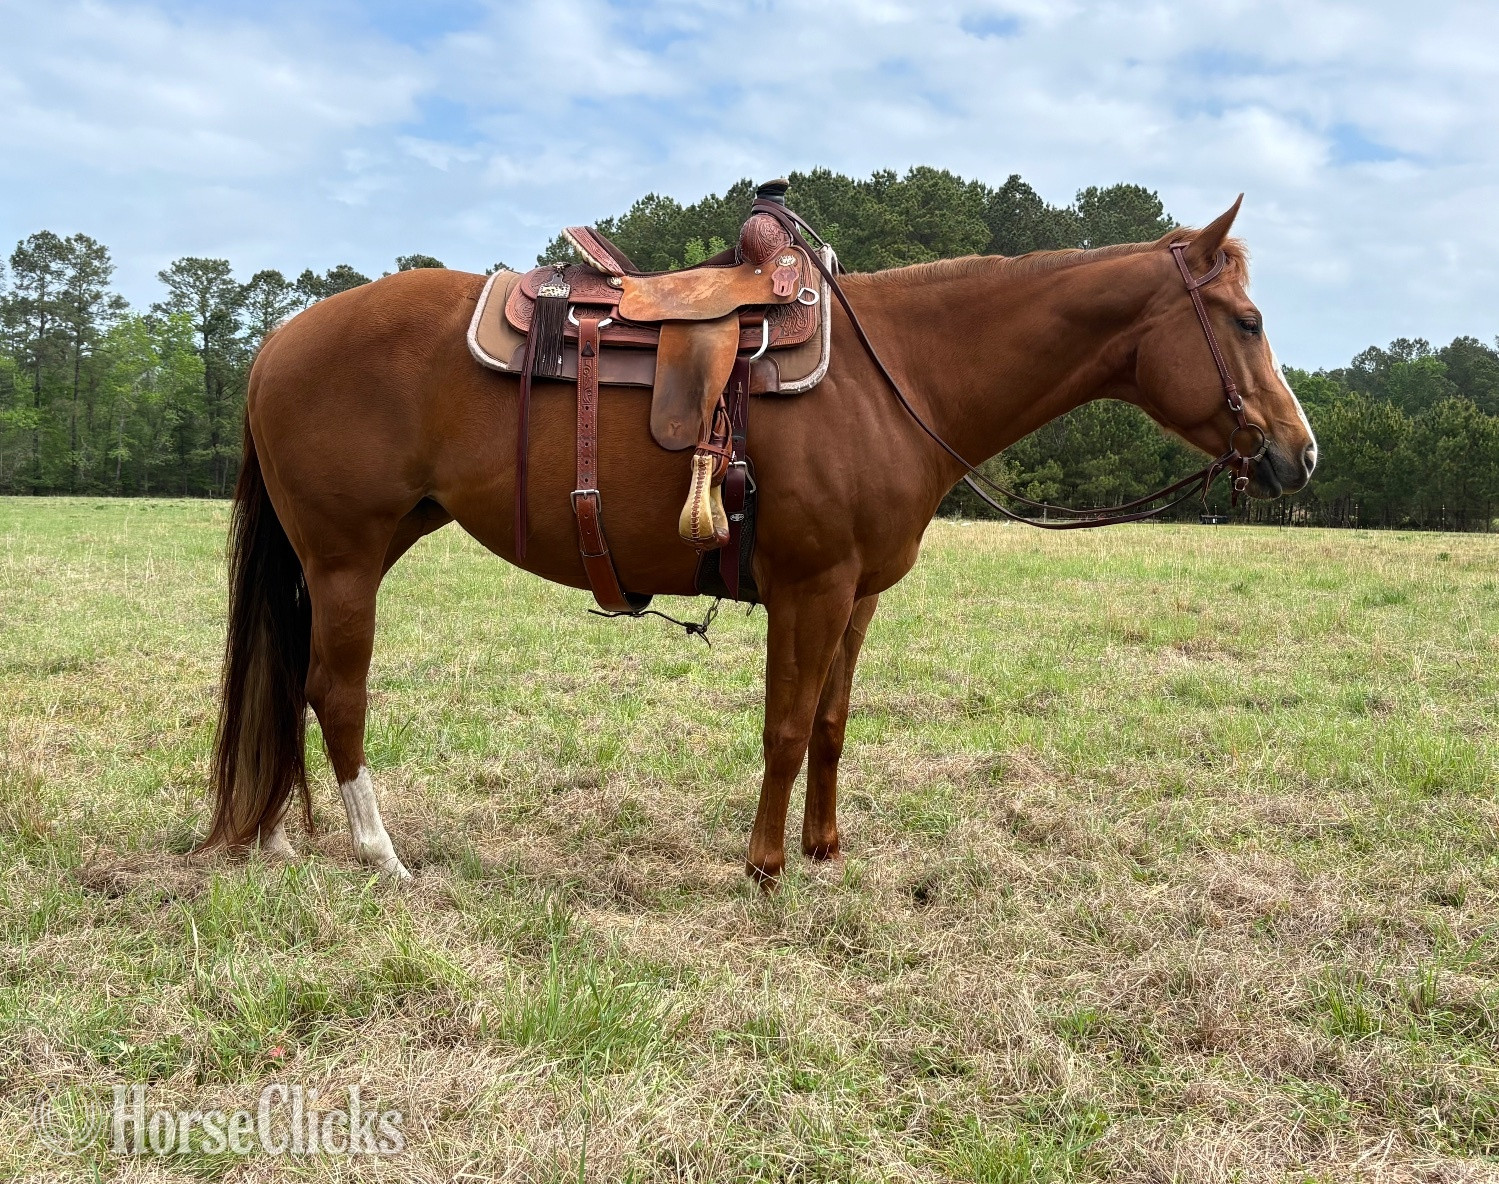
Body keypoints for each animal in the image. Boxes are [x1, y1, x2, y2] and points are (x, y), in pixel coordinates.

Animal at [197, 197, 1316, 885]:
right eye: (1246, 320)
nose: (1298, 455)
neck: (895, 374)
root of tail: (280, 339)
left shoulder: (857, 597)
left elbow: (828, 725)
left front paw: (823, 846)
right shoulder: (809, 588)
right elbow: (782, 726)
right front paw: (765, 863)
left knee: (292, 684)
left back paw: (282, 836)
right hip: (346, 557)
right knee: (334, 691)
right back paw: (378, 852)